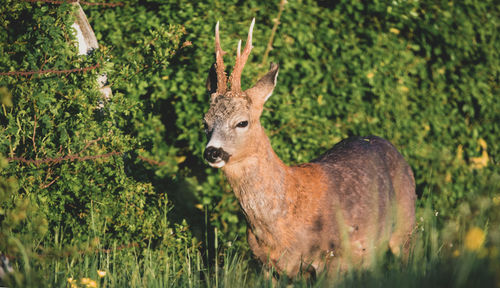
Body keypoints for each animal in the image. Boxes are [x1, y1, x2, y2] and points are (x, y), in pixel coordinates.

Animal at [203, 18, 418, 280]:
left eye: (242, 122)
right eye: (205, 122)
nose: (212, 152)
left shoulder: (335, 259)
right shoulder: (265, 265)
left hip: (405, 228)